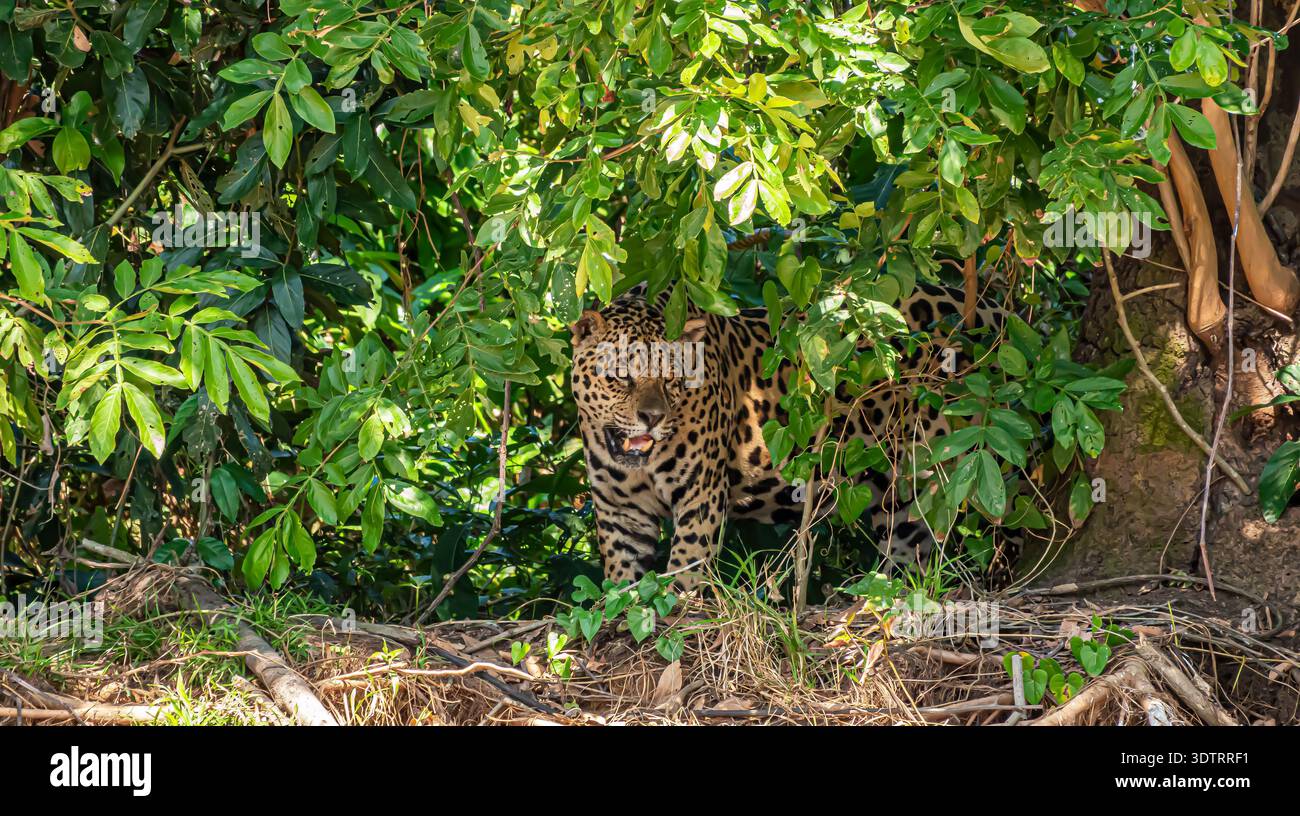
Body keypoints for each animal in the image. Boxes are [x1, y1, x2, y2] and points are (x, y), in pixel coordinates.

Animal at [568, 282, 999, 590]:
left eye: (672, 379)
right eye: (620, 376)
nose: (653, 418)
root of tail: (989, 306)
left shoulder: (700, 495)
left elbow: (687, 564)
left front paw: (677, 606)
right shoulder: (620, 510)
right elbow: (622, 577)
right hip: (902, 494)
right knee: (911, 543)